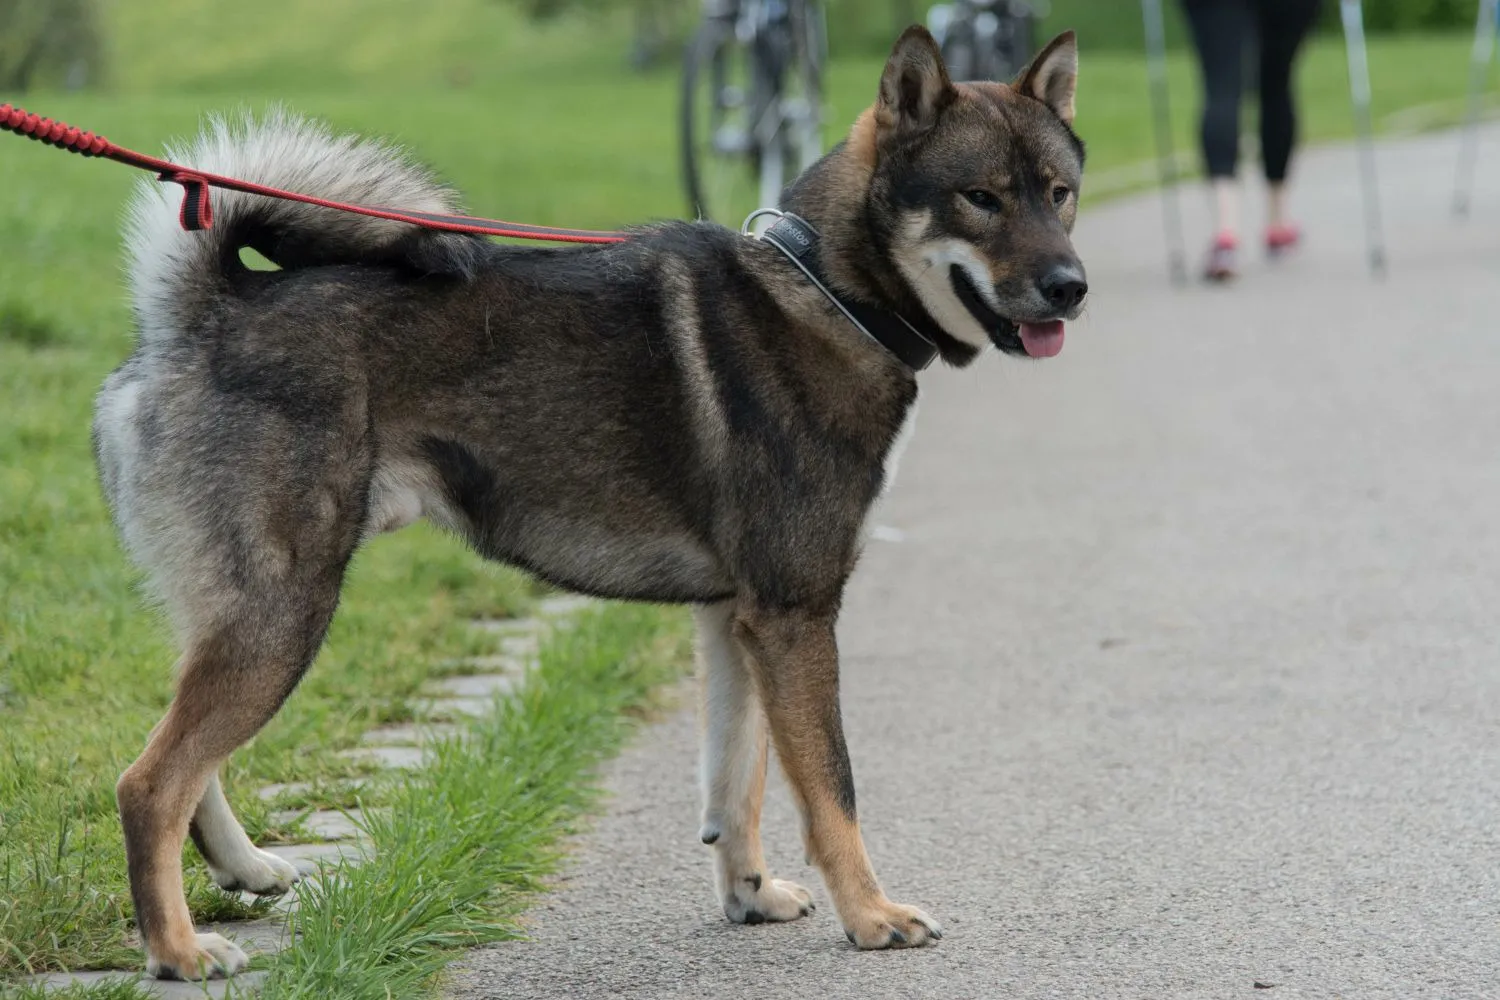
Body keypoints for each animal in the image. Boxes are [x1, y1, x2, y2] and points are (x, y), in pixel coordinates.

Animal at [87, 27, 1086, 983]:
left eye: (1060, 193)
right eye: (981, 198)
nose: (1072, 287)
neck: (827, 291)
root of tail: (202, 312)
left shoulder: (737, 619)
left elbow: (739, 779)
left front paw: (751, 894)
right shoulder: (795, 616)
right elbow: (831, 788)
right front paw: (872, 916)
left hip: (239, 611)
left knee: (187, 756)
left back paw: (241, 869)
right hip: (284, 613)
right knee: (149, 781)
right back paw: (176, 951)